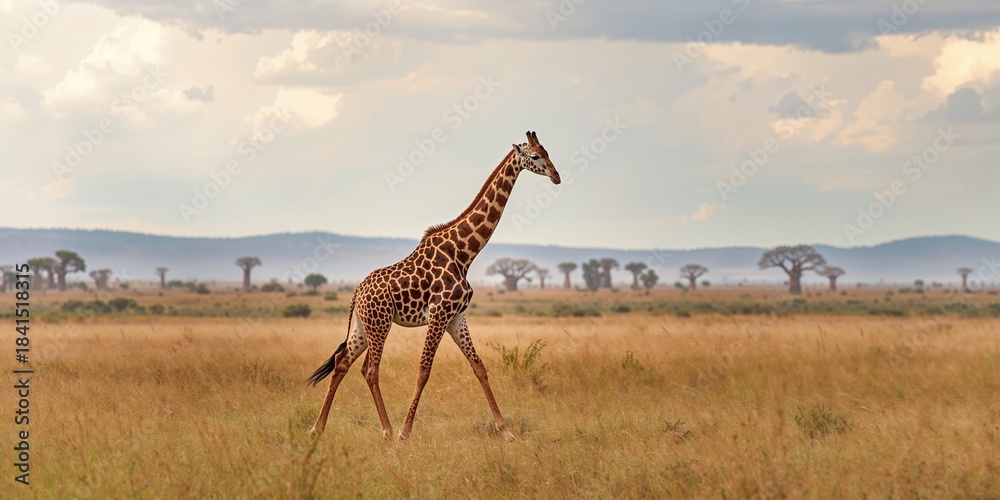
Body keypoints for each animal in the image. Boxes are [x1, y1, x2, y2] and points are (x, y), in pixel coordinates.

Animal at [307, 131, 561, 442]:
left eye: (548, 152)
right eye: (535, 156)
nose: (557, 176)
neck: (464, 253)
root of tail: (357, 292)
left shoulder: (457, 317)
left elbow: (479, 367)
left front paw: (507, 432)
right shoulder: (440, 314)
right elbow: (423, 371)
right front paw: (405, 432)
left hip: (362, 325)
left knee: (342, 362)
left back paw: (317, 428)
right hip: (380, 323)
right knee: (370, 369)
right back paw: (387, 430)